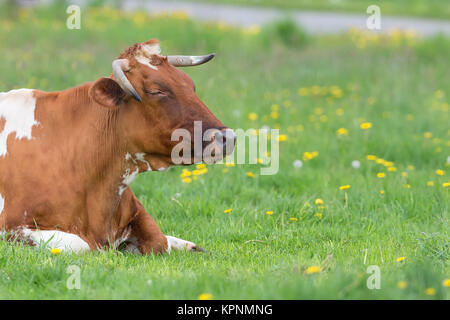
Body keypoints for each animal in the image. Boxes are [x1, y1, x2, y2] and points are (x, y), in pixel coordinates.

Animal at [0, 38, 237, 254]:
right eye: (156, 91)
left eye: (191, 85)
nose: (227, 137)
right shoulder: (11, 227)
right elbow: (80, 244)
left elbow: (159, 240)